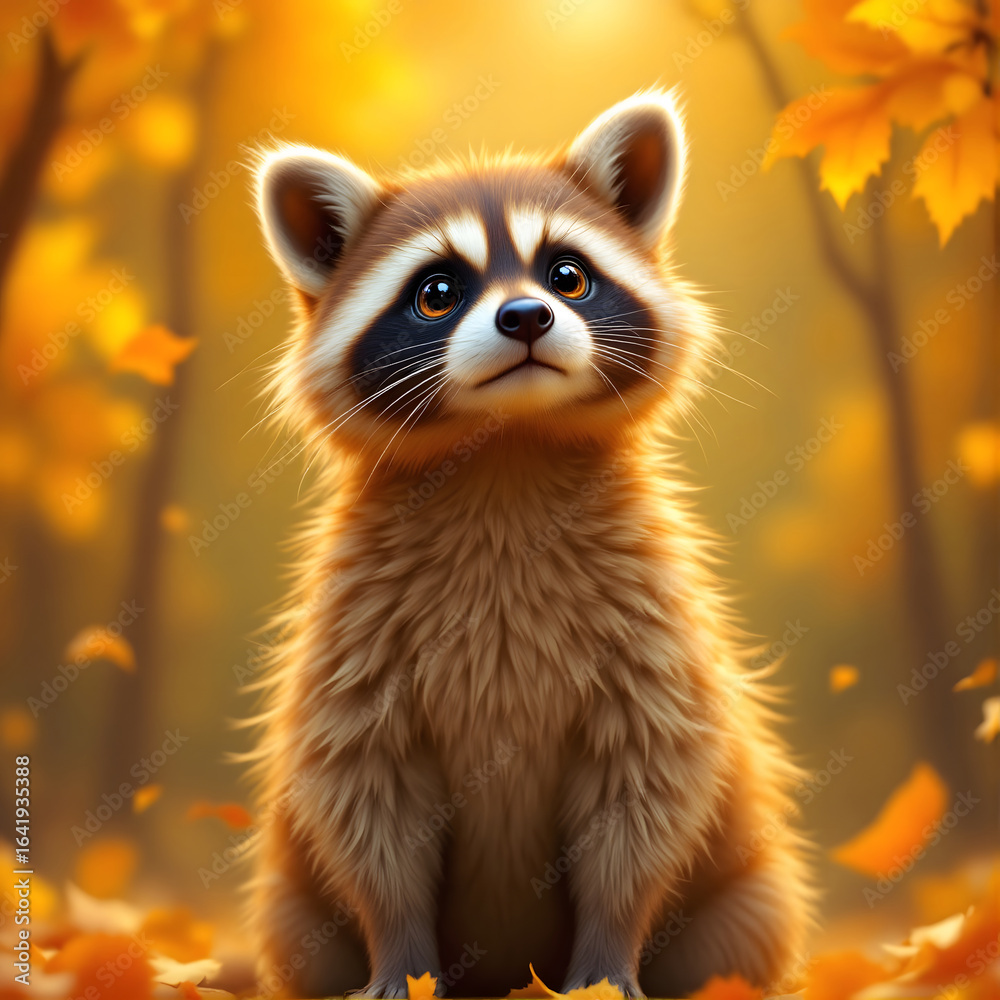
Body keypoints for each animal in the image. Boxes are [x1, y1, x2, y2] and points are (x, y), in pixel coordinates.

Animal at [245, 90, 812, 999]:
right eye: (437, 292)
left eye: (566, 276)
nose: (526, 316)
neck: (504, 449)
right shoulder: (355, 638)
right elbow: (368, 805)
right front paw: (400, 960)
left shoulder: (651, 634)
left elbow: (645, 798)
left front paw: (606, 961)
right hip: (289, 906)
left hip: (749, 890)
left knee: (740, 935)